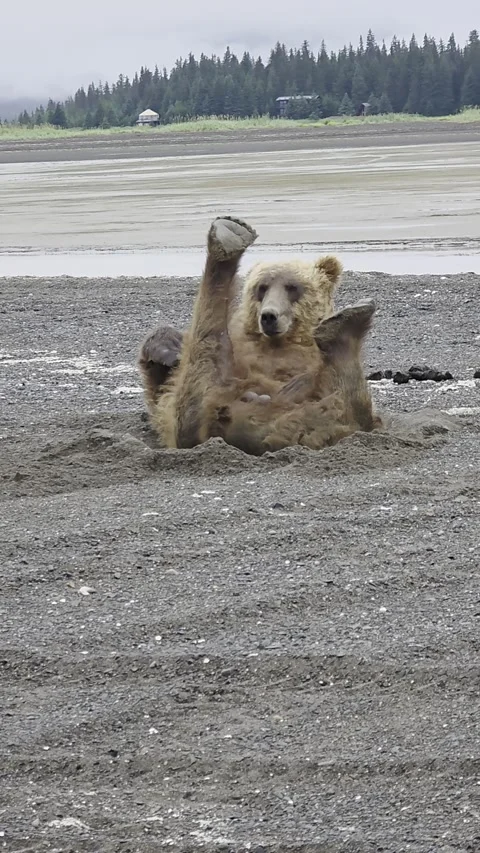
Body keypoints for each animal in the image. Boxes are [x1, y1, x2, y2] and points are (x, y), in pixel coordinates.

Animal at [138, 215, 381, 455]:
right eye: (262, 287)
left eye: (292, 287)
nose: (269, 316)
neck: (281, 341)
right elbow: (162, 380)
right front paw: (167, 349)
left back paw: (347, 326)